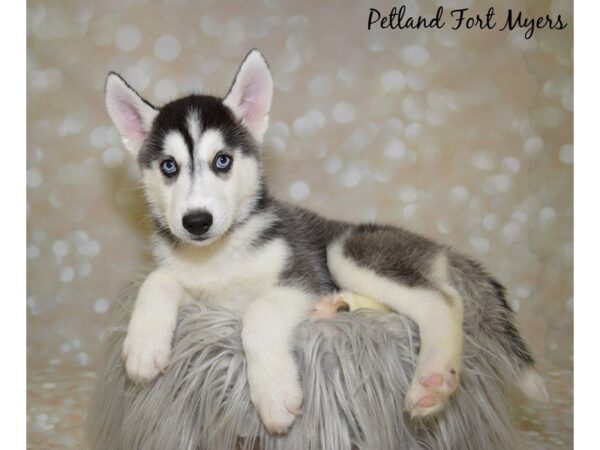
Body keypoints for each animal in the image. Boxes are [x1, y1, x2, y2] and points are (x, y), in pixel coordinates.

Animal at [105, 48, 548, 432]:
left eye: (223, 161)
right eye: (168, 166)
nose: (197, 221)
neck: (219, 254)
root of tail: (442, 249)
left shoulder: (303, 275)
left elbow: (258, 315)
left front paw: (274, 395)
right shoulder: (206, 300)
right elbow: (158, 279)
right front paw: (143, 346)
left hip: (346, 250)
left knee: (442, 301)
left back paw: (433, 379)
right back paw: (336, 307)